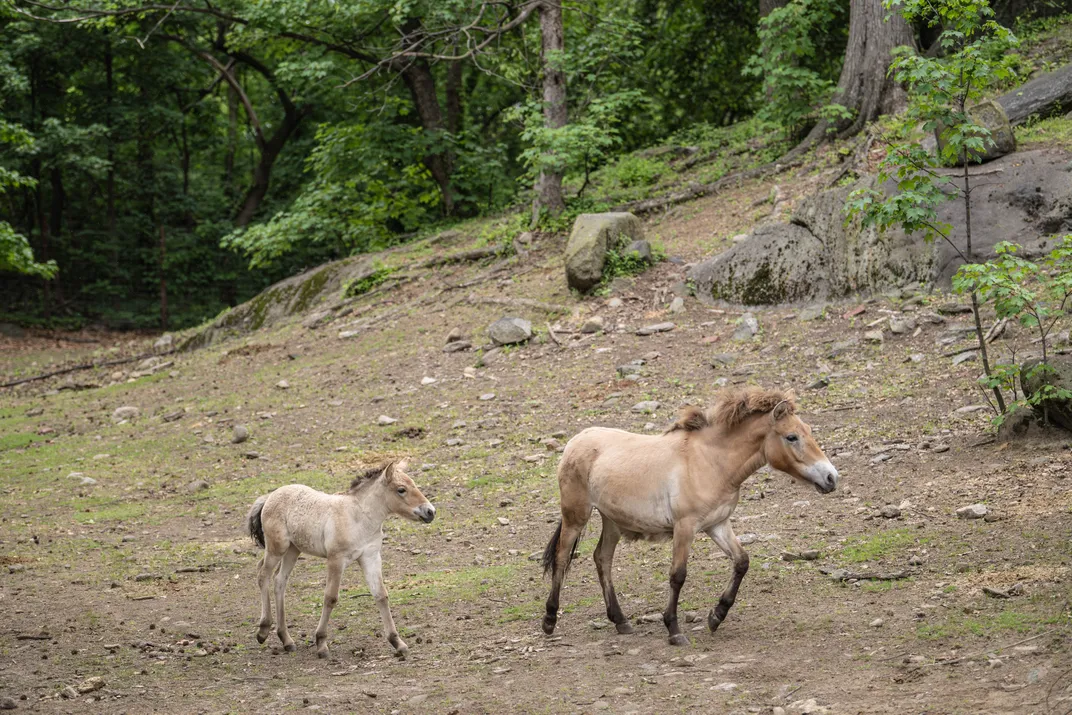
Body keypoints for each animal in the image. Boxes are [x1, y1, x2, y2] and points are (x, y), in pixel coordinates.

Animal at [245, 459, 435, 659]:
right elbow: (330, 597)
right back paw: (263, 630)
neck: (359, 518)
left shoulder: (371, 557)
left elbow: (381, 595)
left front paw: (398, 643)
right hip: (277, 548)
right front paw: (321, 643)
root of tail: (269, 496)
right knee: (263, 575)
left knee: (279, 581)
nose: (430, 511)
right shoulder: (336, 560)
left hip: (293, 550)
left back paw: (286, 640)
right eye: (401, 489)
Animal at [540, 387, 838, 646]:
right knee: (563, 556)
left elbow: (742, 561)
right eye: (792, 437)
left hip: (611, 520)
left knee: (602, 558)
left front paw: (716, 616)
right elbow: (678, 575)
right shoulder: (685, 527)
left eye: (808, 431)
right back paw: (549, 619)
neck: (710, 462)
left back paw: (620, 621)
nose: (831, 477)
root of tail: (575, 441)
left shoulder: (718, 524)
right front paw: (673, 630)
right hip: (576, 515)